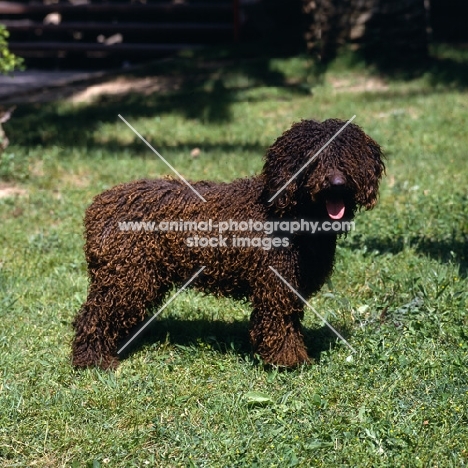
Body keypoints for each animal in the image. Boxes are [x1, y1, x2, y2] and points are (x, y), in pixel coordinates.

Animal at [73, 119, 386, 370]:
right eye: (313, 158)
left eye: (349, 156)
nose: (336, 183)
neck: (287, 213)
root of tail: (98, 205)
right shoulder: (274, 286)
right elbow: (278, 324)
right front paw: (287, 361)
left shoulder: (292, 285)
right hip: (126, 277)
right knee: (93, 315)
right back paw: (92, 360)